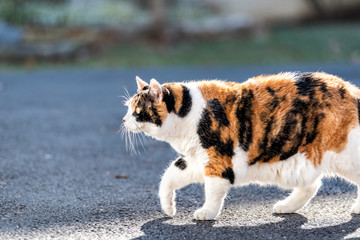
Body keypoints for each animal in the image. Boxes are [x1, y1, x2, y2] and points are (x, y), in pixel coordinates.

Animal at [121, 72, 360, 219]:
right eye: (128, 108)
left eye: (138, 111)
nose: (124, 120)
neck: (190, 112)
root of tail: (351, 89)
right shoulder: (196, 159)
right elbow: (169, 177)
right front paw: (168, 207)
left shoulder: (218, 160)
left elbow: (213, 191)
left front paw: (207, 212)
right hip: (301, 160)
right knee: (312, 185)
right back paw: (286, 206)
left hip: (346, 156)